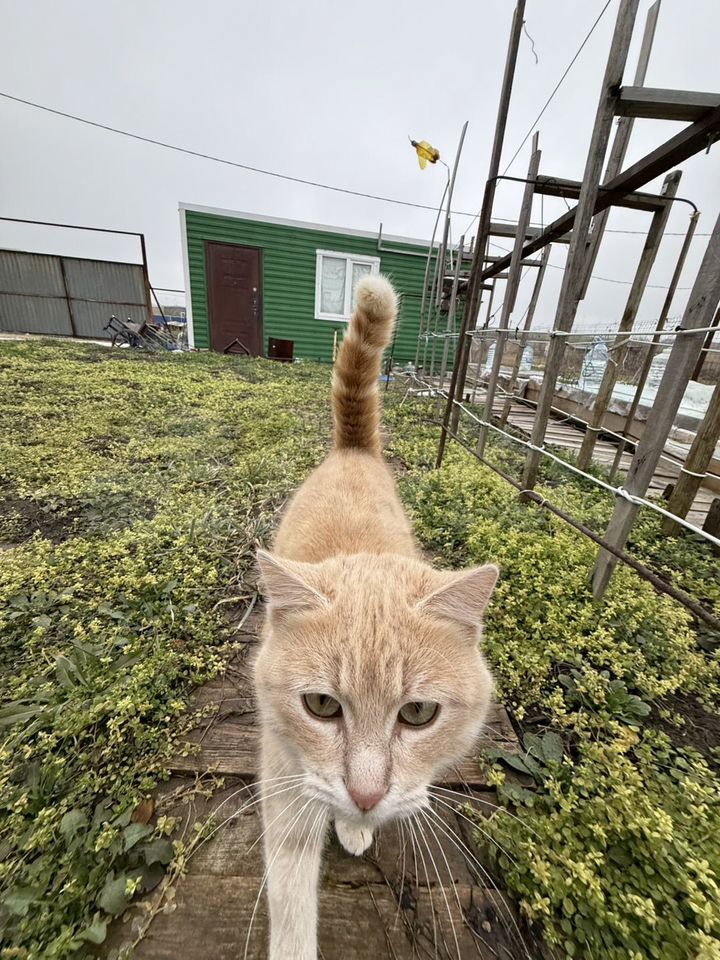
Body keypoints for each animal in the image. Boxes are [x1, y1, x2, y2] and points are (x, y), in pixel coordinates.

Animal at [253, 274, 498, 959]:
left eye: (418, 714)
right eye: (321, 707)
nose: (365, 796)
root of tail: (353, 450)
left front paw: (355, 823)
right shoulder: (283, 774)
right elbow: (289, 892)